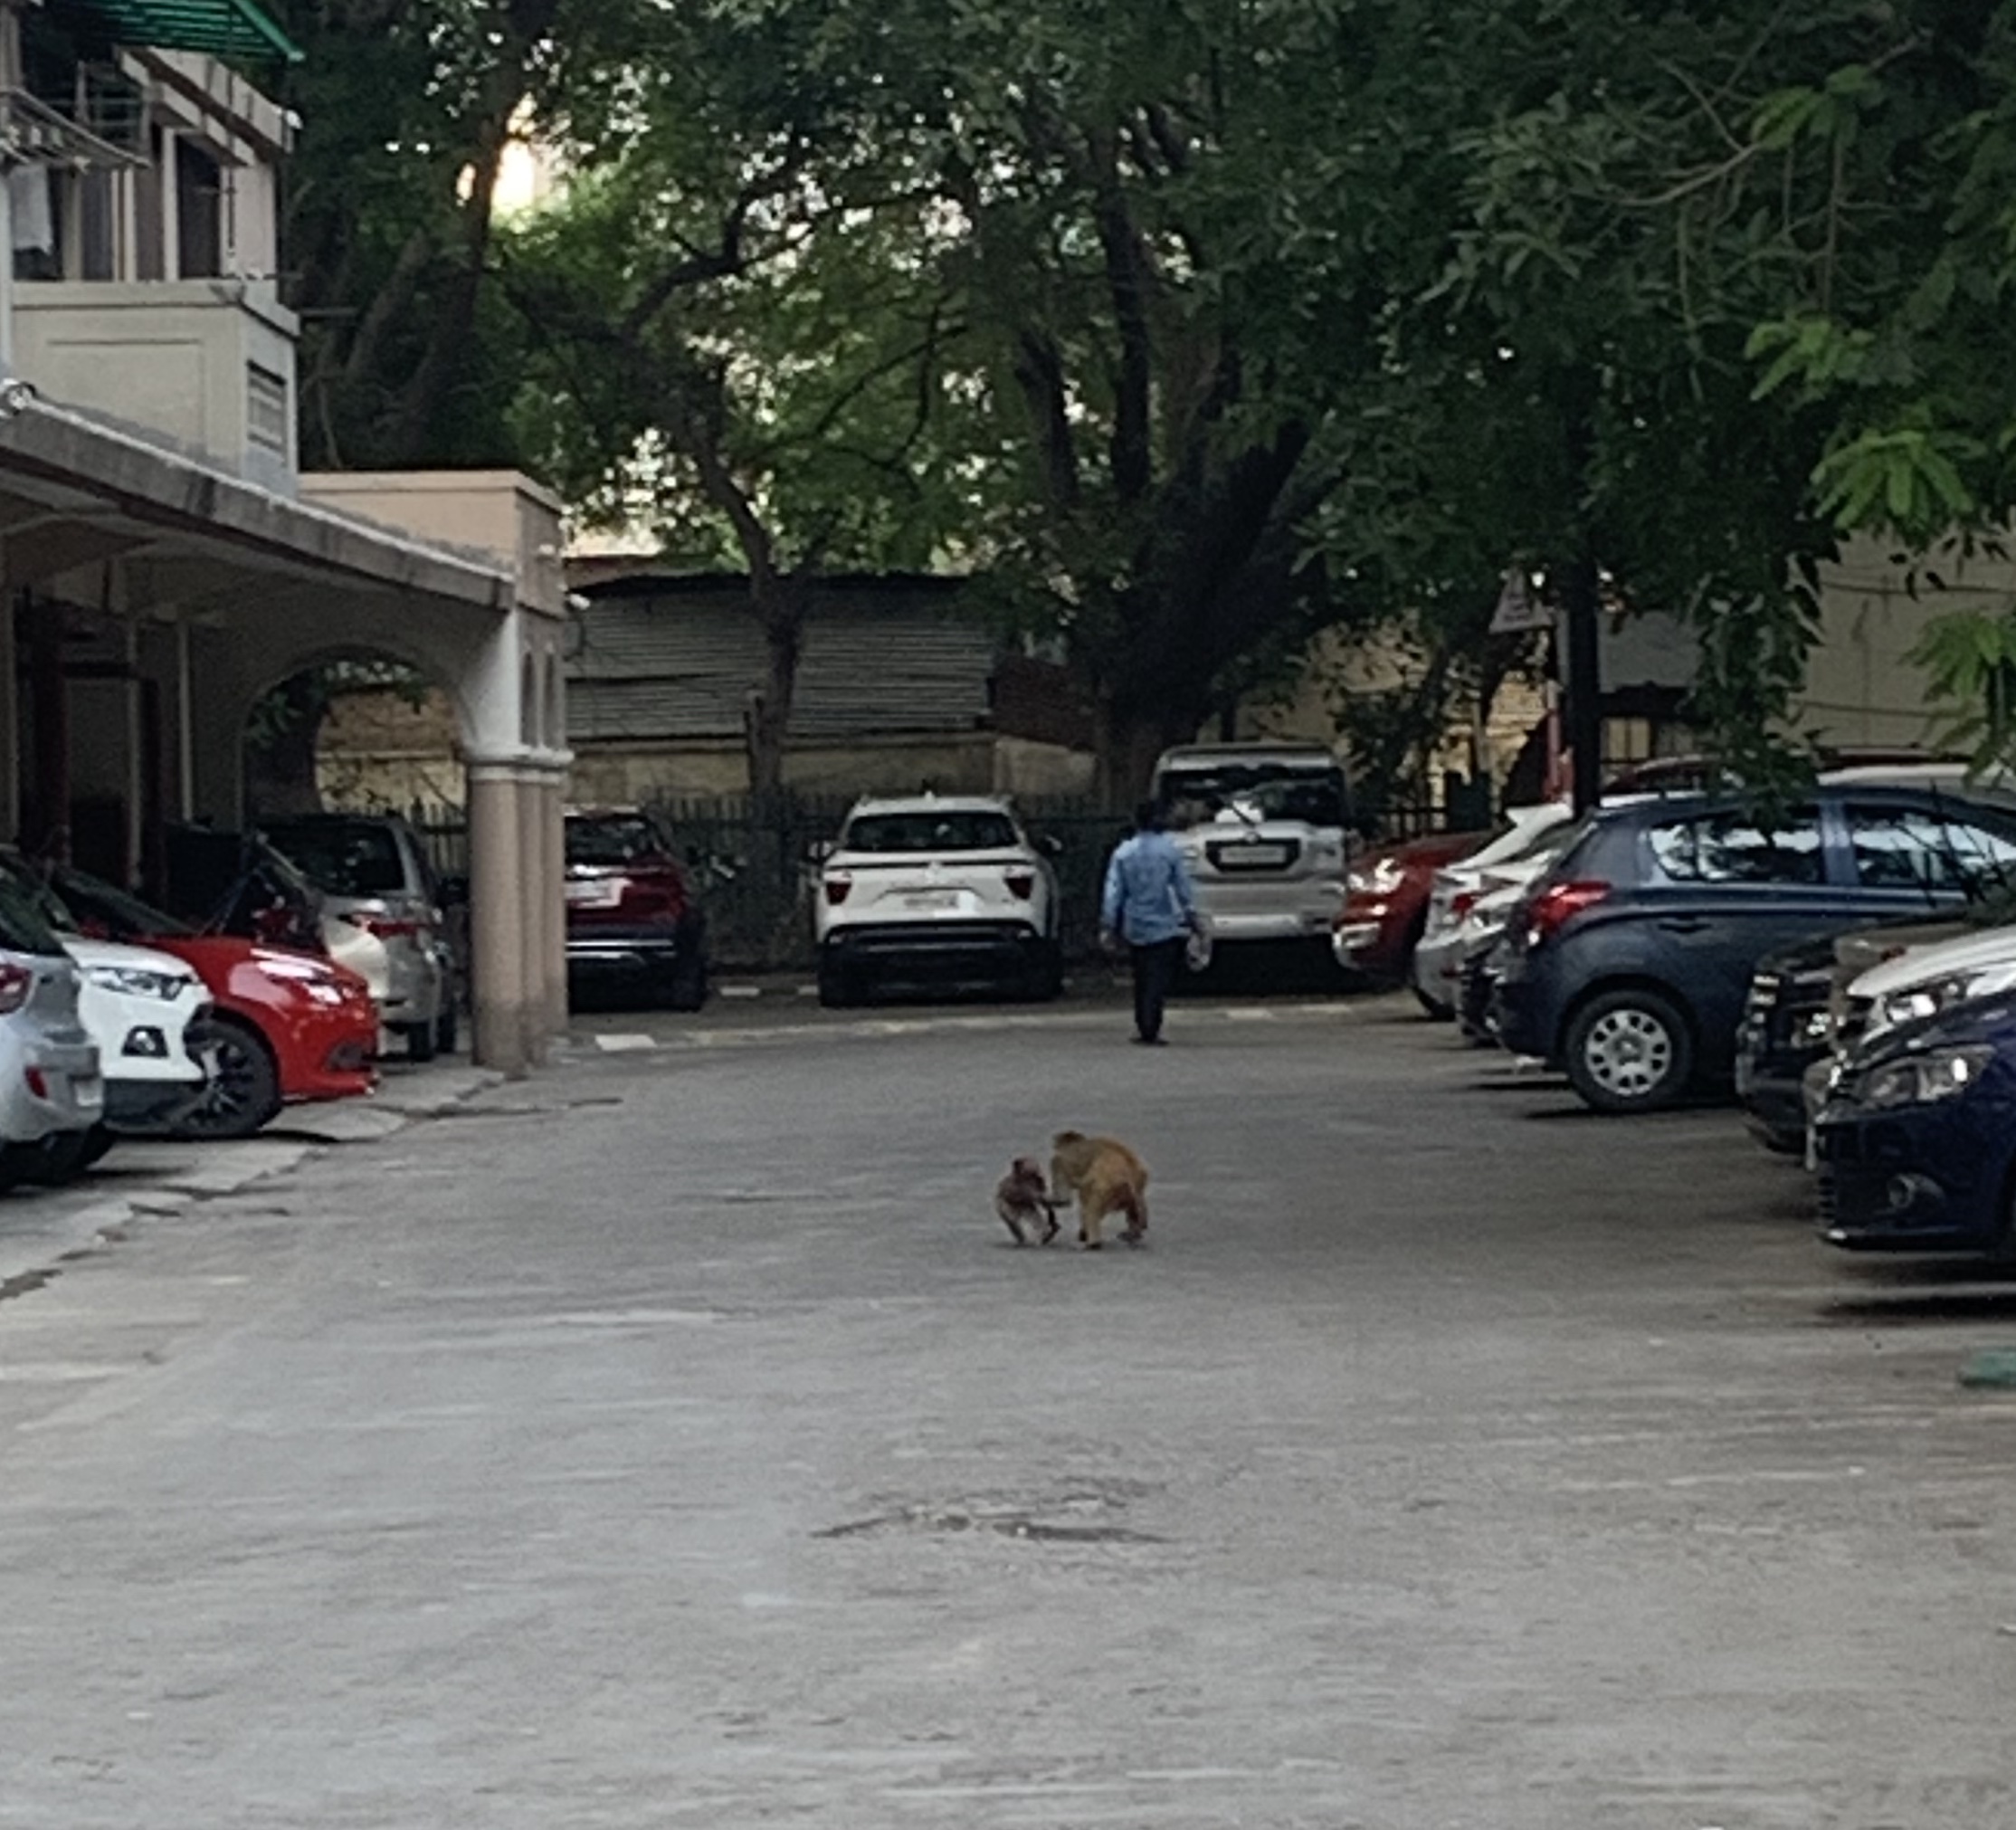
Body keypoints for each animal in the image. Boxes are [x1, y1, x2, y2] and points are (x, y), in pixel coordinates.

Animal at [1049, 1130, 1149, 1250]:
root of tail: (1128, 1180)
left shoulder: (1061, 1161)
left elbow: (1065, 1195)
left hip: (1109, 1189)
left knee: (1091, 1203)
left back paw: (1092, 1242)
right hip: (1133, 1189)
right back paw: (1134, 1232)